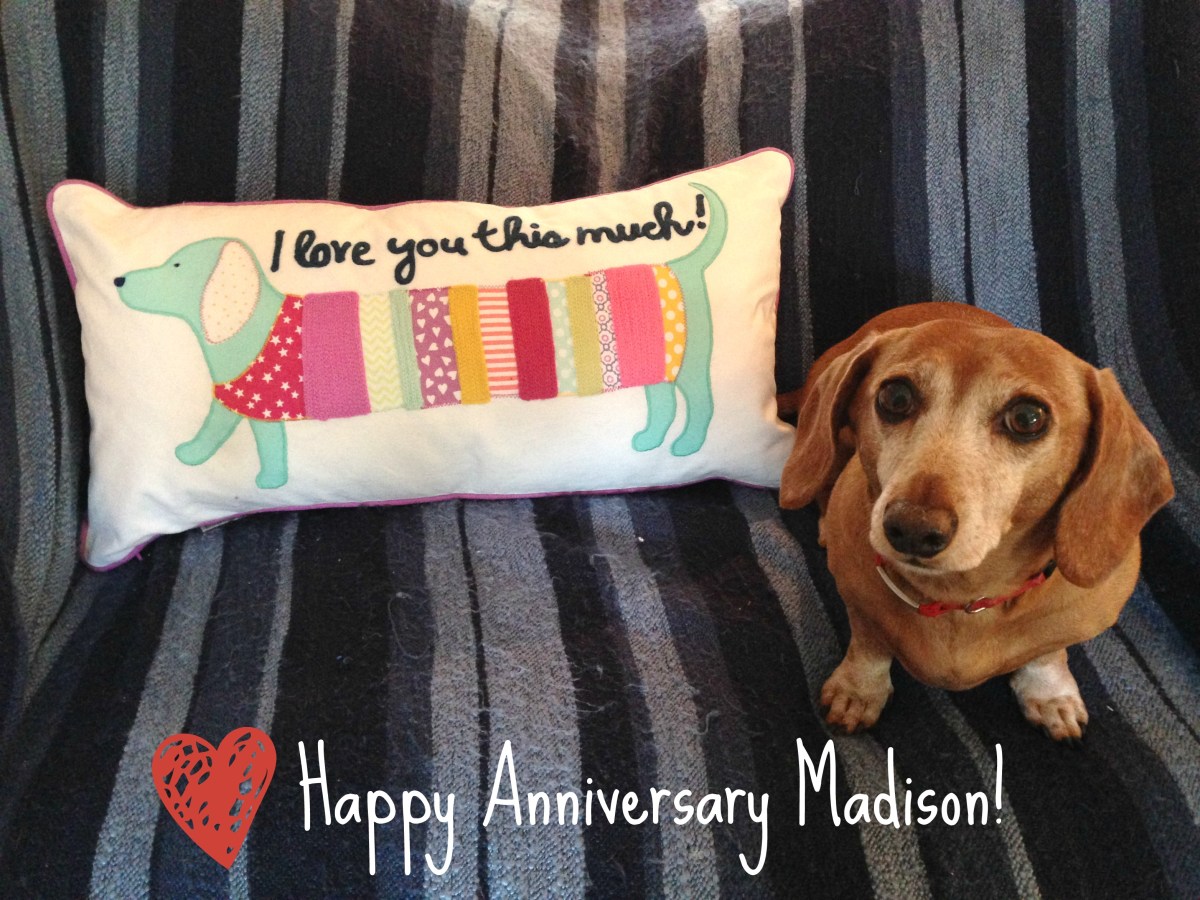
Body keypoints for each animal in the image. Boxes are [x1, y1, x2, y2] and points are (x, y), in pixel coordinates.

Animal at [113, 184, 726, 488]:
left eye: (174, 266)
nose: (117, 280)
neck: (247, 328)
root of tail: (677, 263)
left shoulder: (257, 404)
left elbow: (258, 443)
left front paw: (266, 481)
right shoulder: (235, 399)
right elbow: (213, 428)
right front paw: (190, 458)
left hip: (690, 362)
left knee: (697, 401)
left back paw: (686, 448)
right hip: (653, 367)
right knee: (658, 400)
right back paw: (648, 443)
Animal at [779, 302, 1174, 741]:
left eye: (1027, 417)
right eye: (895, 396)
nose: (912, 529)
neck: (960, 594)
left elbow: (1048, 653)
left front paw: (1049, 693)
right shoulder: (858, 601)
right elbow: (869, 644)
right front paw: (859, 691)